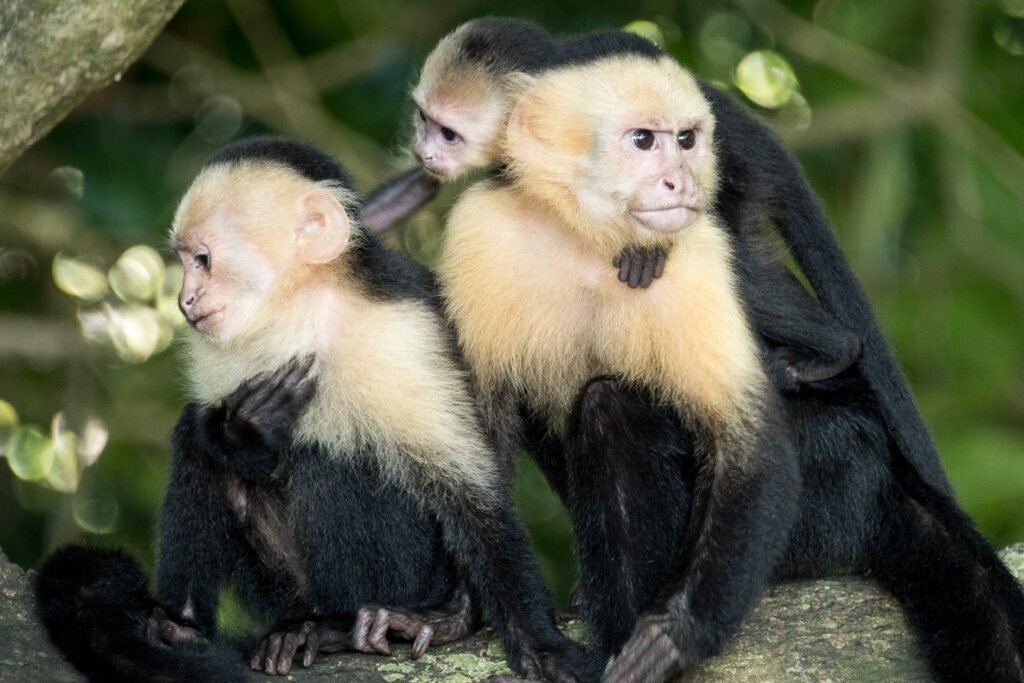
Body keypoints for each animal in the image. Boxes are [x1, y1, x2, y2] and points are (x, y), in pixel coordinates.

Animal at [35, 136, 590, 682]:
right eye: (186, 260)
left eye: (203, 260)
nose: (185, 300)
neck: (302, 313)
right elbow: (216, 432)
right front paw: (242, 431)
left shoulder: (400, 334)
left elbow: (469, 494)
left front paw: (533, 643)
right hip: (281, 590)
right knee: (198, 446)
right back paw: (183, 626)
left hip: (406, 578)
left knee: (334, 458)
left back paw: (333, 628)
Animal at [437, 54, 1024, 683]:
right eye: (642, 141)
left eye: (686, 140)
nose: (682, 180)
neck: (584, 240)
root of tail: (888, 477)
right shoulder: (479, 236)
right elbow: (480, 450)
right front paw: (500, 626)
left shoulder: (696, 253)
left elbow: (750, 449)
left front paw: (678, 636)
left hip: (837, 472)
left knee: (612, 409)